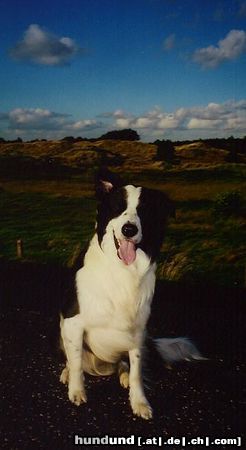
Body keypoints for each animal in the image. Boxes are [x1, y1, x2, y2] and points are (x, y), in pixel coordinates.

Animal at [59, 169, 202, 418]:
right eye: (118, 207)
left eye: (144, 211)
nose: (129, 229)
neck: (122, 270)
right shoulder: (73, 321)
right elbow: (76, 361)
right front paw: (76, 391)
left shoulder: (137, 329)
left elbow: (137, 370)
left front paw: (139, 402)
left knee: (125, 364)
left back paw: (123, 374)